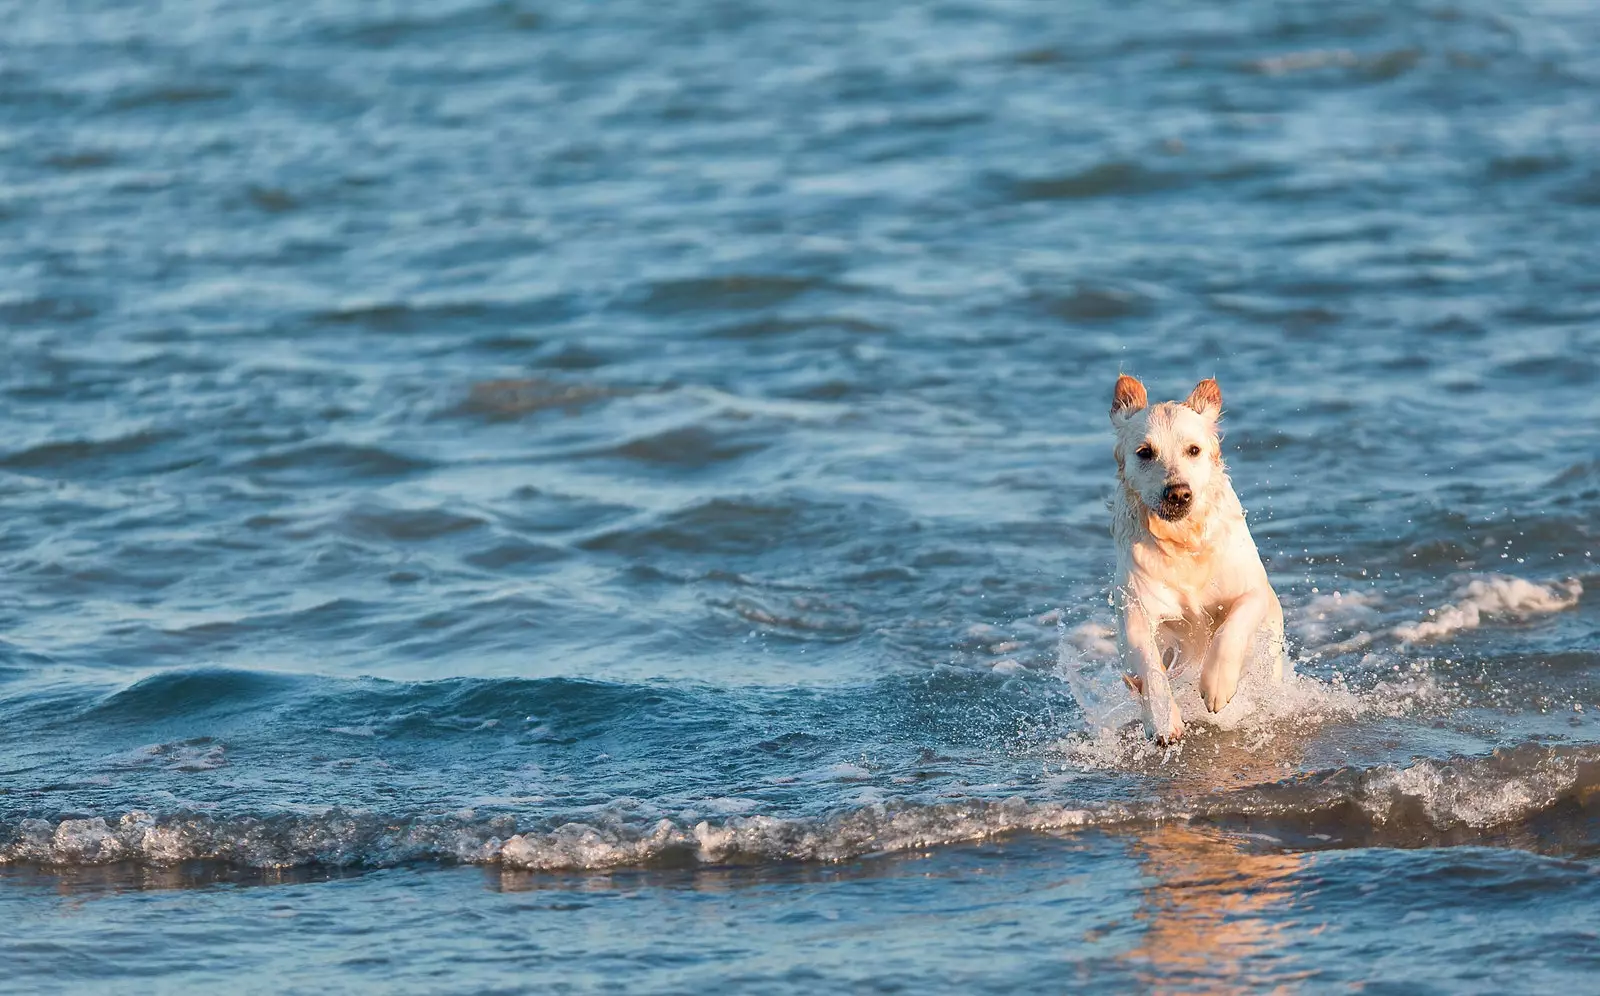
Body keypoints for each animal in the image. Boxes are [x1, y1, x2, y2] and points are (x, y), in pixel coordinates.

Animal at [1113, 377, 1286, 746]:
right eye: (1145, 452)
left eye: (1193, 450)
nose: (1178, 493)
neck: (1183, 543)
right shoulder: (1136, 608)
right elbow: (1149, 664)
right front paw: (1164, 720)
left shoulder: (1253, 588)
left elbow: (1236, 621)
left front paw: (1217, 684)